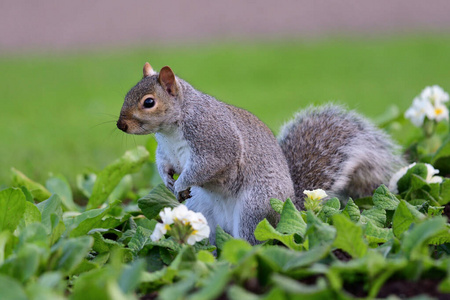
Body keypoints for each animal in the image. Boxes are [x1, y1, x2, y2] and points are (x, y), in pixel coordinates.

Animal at [116, 62, 404, 245]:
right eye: (127, 94)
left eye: (149, 102)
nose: (121, 125)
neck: (171, 129)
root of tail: (293, 207)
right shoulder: (166, 151)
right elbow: (164, 164)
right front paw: (168, 180)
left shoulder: (215, 143)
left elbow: (206, 166)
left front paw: (181, 183)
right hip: (201, 211)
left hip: (255, 209)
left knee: (253, 242)